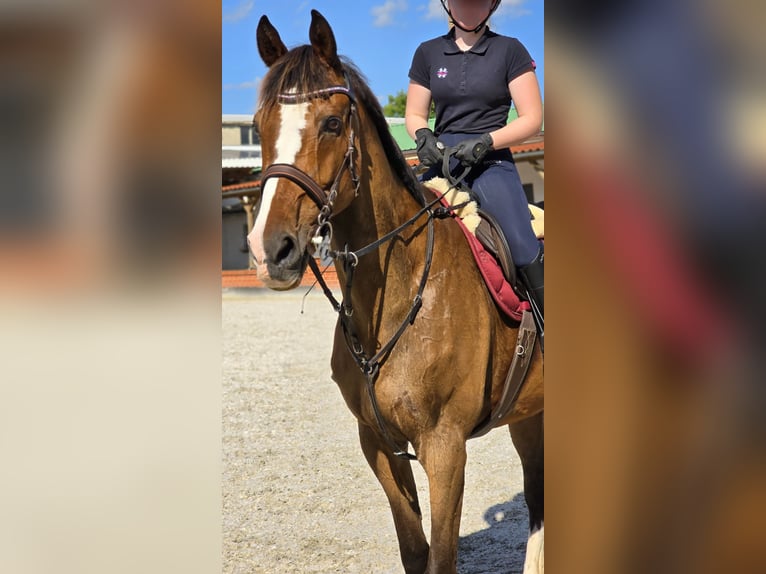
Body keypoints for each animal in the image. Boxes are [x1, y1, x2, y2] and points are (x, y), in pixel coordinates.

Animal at [248, 10, 544, 574]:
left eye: (332, 124)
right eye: (258, 126)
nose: (270, 249)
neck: (401, 297)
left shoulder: (445, 448)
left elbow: (441, 557)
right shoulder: (379, 445)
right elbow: (414, 550)